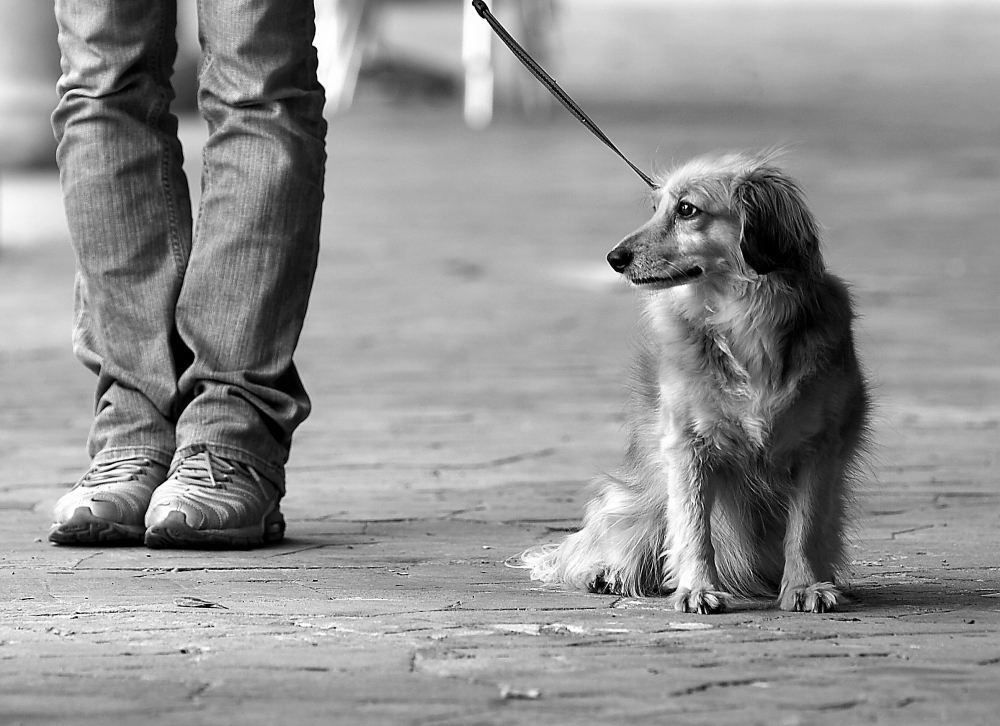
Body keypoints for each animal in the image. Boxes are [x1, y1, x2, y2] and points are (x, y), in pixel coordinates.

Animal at [524, 152, 868, 616]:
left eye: (686, 209)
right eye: (656, 208)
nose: (614, 257)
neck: (745, 320)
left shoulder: (819, 448)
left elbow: (806, 528)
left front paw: (804, 586)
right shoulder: (687, 447)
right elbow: (692, 528)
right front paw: (696, 589)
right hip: (642, 504)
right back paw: (606, 572)